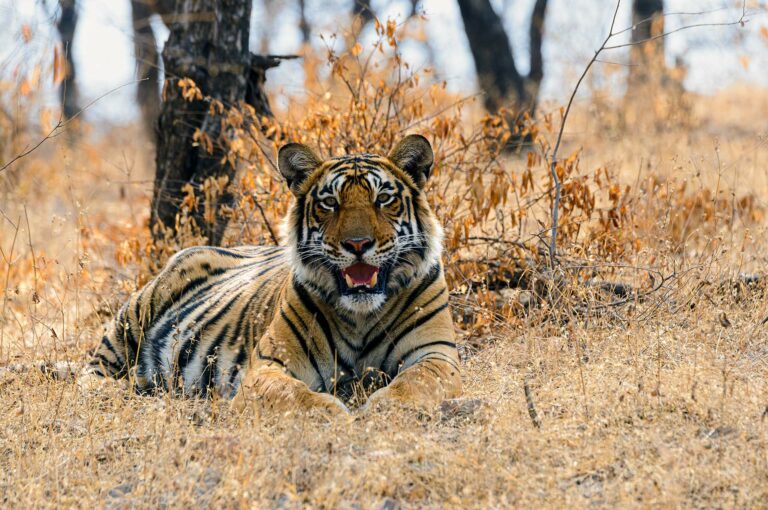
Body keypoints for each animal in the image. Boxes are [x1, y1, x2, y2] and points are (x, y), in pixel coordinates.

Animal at [88, 134, 462, 414]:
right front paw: (333, 414)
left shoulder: (436, 353)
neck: (361, 315)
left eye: (383, 198)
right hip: (132, 317)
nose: (357, 244)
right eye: (330, 203)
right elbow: (293, 396)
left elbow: (416, 382)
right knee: (94, 370)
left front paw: (384, 407)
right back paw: (119, 391)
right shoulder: (267, 365)